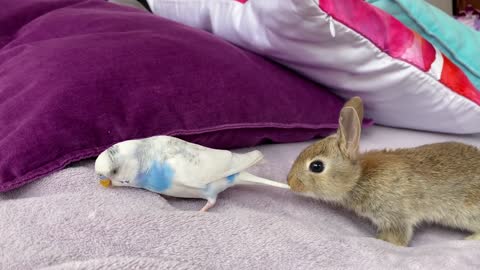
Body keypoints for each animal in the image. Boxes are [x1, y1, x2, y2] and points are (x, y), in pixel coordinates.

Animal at [286, 97, 478, 247]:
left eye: (316, 166)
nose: (290, 181)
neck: (359, 177)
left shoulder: (396, 215)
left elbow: (398, 238)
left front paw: (382, 240)